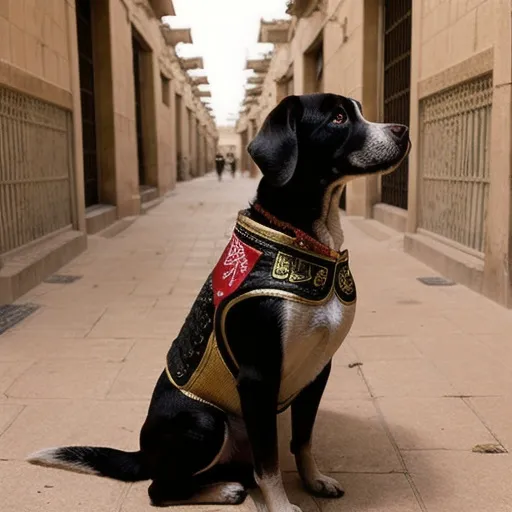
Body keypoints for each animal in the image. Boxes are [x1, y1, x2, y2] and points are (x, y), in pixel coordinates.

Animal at [29, 94, 412, 512]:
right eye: (339, 118)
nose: (403, 129)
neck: (309, 240)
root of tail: (143, 454)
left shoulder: (317, 371)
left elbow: (302, 440)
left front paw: (314, 481)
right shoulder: (258, 377)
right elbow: (269, 463)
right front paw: (282, 505)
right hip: (206, 421)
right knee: (160, 489)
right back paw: (224, 490)